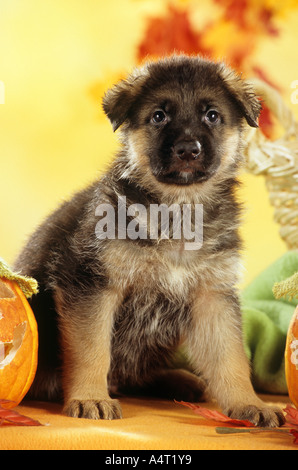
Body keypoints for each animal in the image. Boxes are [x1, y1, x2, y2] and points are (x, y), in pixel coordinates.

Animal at [15, 55, 286, 426]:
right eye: (159, 116)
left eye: (212, 115)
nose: (188, 150)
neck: (177, 209)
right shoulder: (93, 286)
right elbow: (92, 351)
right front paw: (90, 397)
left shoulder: (212, 297)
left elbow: (231, 359)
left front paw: (249, 403)